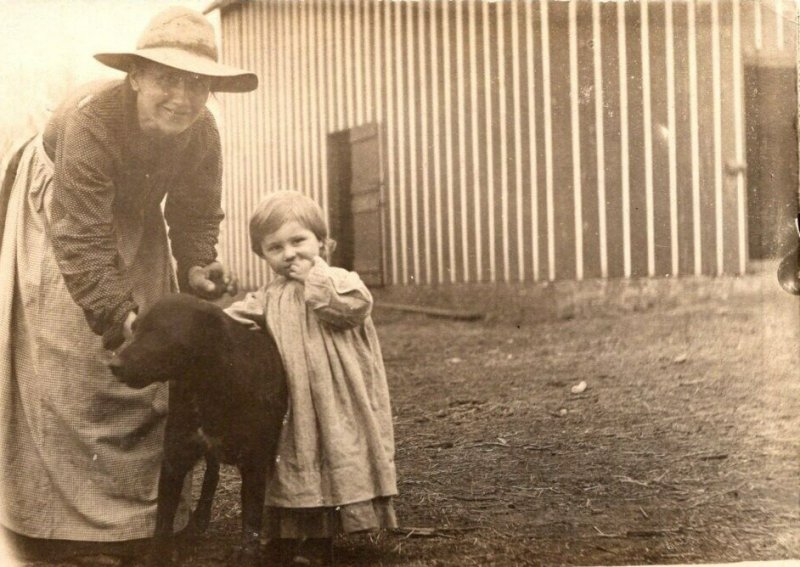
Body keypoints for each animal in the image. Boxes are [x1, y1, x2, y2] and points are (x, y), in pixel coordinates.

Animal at [109, 296, 288, 564]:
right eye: (135, 327)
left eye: (160, 332)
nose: (113, 364)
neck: (206, 387)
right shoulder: (175, 458)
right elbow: (162, 524)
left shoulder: (254, 463)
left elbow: (251, 523)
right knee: (212, 474)